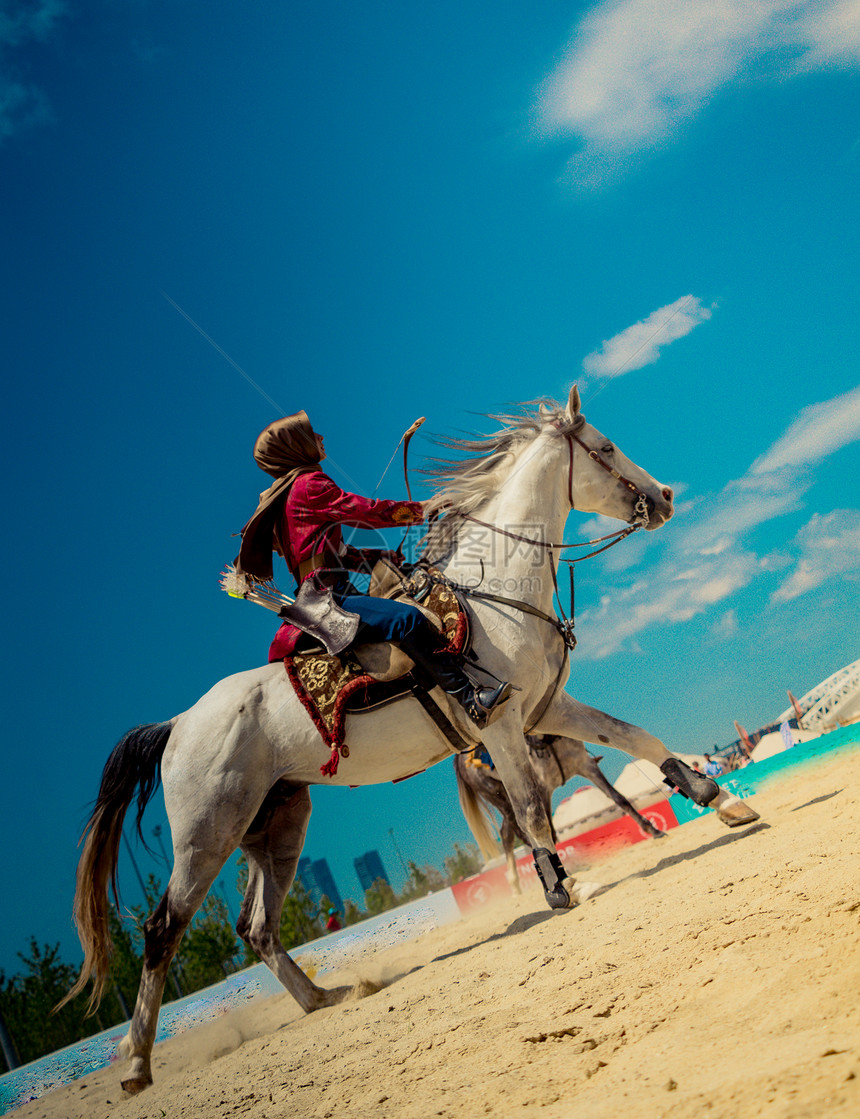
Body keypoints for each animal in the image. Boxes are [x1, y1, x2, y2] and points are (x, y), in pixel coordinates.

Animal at [63, 387, 755, 1092]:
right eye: (606, 447)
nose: (665, 496)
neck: (496, 593)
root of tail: (178, 724)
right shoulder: (504, 725)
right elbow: (534, 810)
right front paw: (566, 888)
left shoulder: (548, 707)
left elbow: (636, 736)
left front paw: (720, 799)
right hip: (207, 834)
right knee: (162, 929)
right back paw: (137, 1063)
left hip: (276, 825)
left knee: (257, 926)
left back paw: (325, 998)